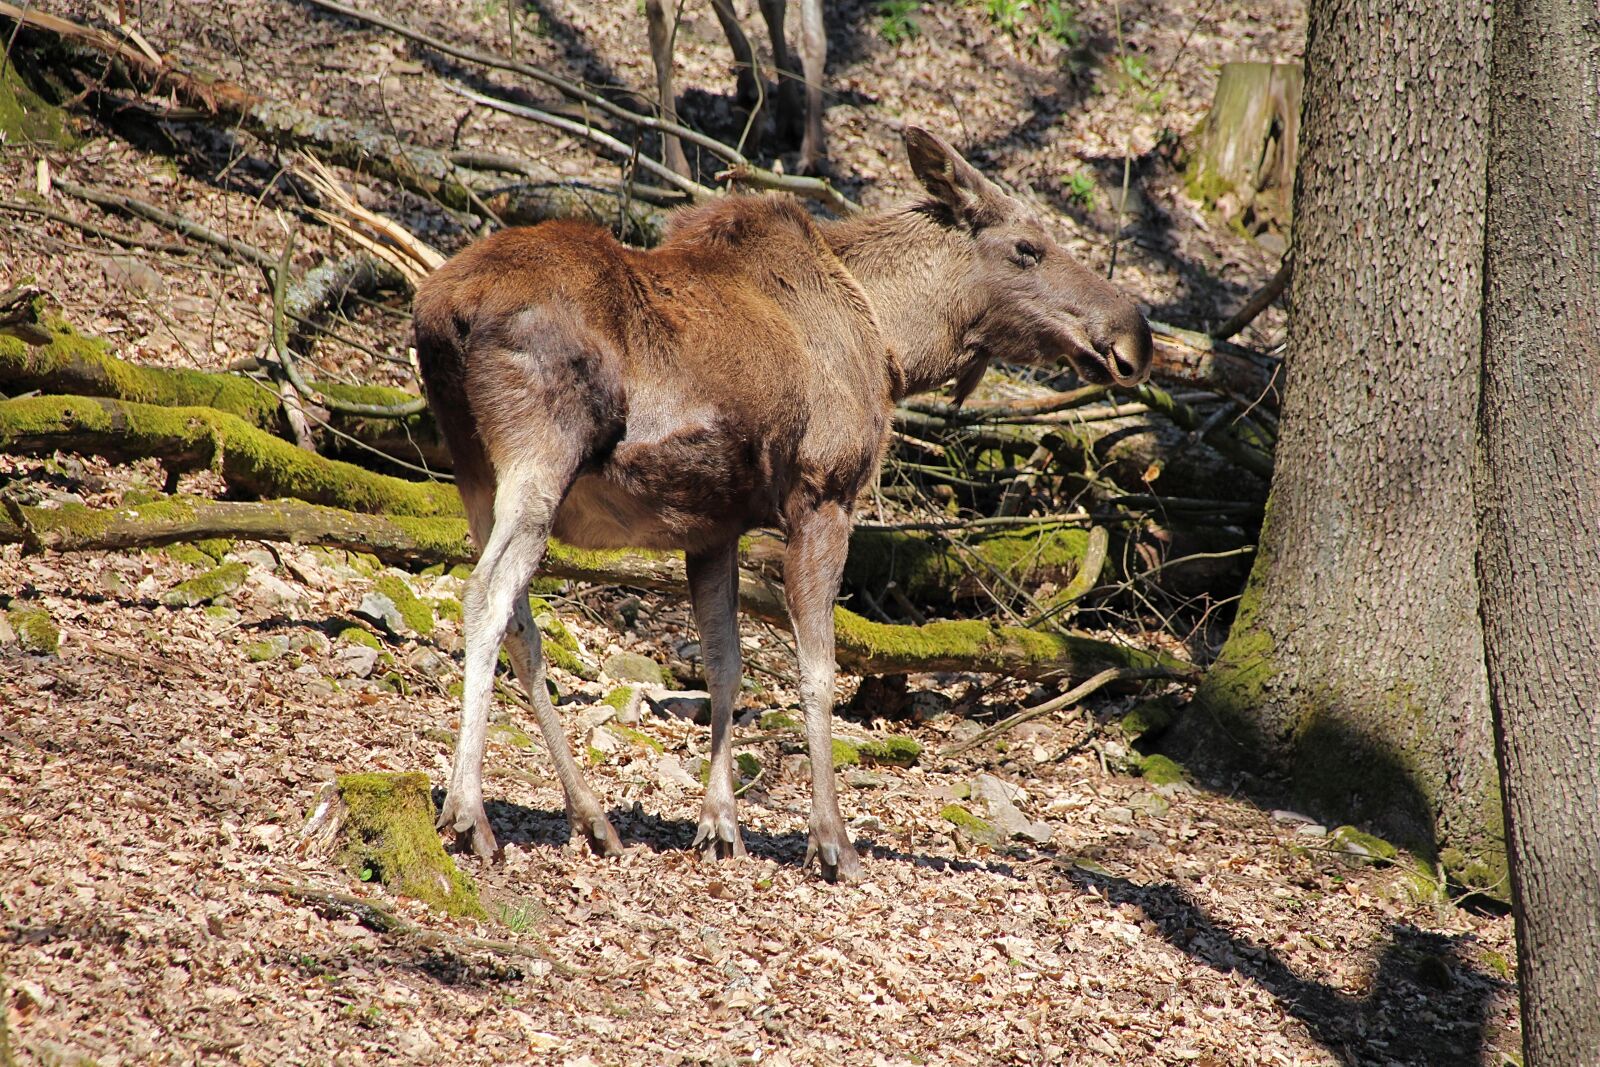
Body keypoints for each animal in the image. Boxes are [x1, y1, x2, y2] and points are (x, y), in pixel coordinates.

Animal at [412, 125, 1152, 883]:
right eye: (1027, 247)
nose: (1136, 335)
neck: (896, 346)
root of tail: (443, 312)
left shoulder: (711, 527)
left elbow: (724, 665)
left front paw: (719, 825)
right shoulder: (823, 495)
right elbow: (817, 668)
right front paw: (832, 840)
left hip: (473, 469)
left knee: (521, 622)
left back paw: (590, 816)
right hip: (541, 451)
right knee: (485, 594)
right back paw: (468, 811)